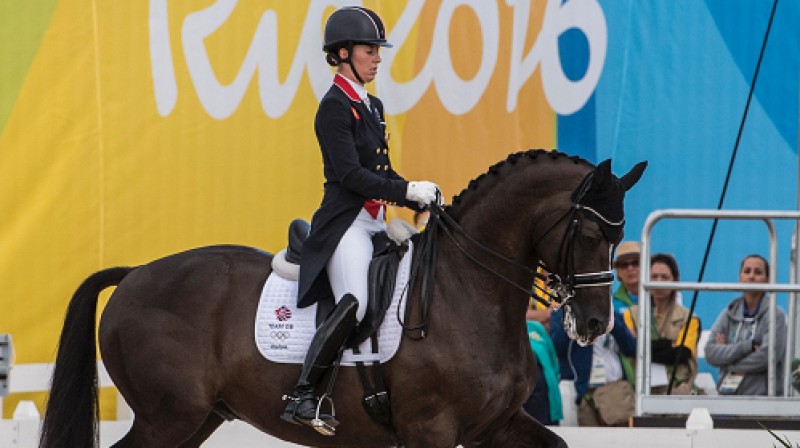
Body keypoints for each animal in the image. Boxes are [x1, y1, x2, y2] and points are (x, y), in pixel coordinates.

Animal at [40, 150, 648, 448]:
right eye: (590, 233)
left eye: (618, 234)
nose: (595, 324)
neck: (469, 292)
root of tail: (135, 274)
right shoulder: (431, 430)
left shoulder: (496, 425)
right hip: (167, 416)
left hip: (196, 420)